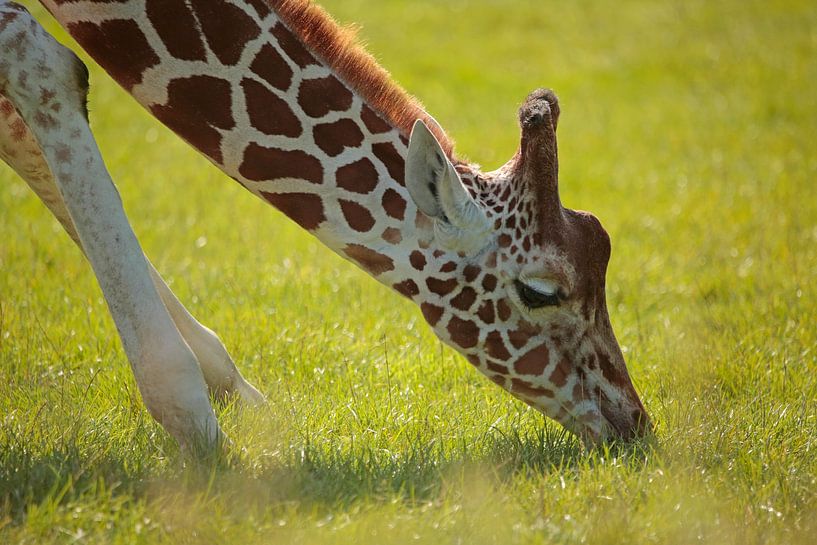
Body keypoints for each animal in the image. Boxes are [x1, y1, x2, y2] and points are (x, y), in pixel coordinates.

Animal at [0, 0, 652, 451]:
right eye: (540, 291)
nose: (635, 424)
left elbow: (18, 124)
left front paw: (241, 399)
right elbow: (45, 66)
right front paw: (200, 430)